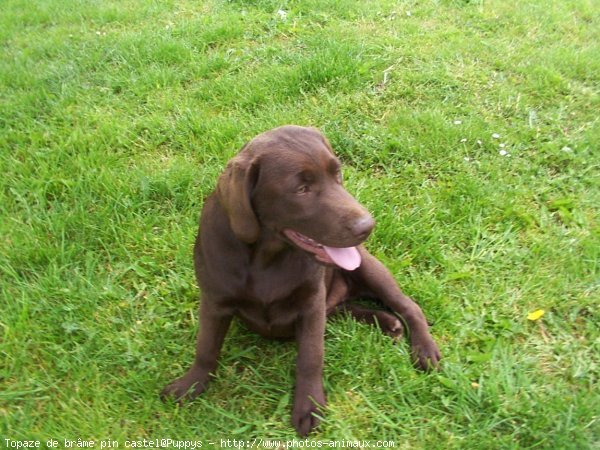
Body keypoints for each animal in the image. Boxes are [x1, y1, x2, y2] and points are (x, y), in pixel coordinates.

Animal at [159, 125, 440, 436]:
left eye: (338, 174)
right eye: (301, 189)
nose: (367, 226)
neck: (266, 256)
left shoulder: (310, 304)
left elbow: (311, 356)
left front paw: (309, 406)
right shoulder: (214, 300)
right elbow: (206, 346)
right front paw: (190, 385)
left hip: (369, 268)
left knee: (409, 306)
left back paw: (424, 349)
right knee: (342, 310)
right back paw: (387, 322)